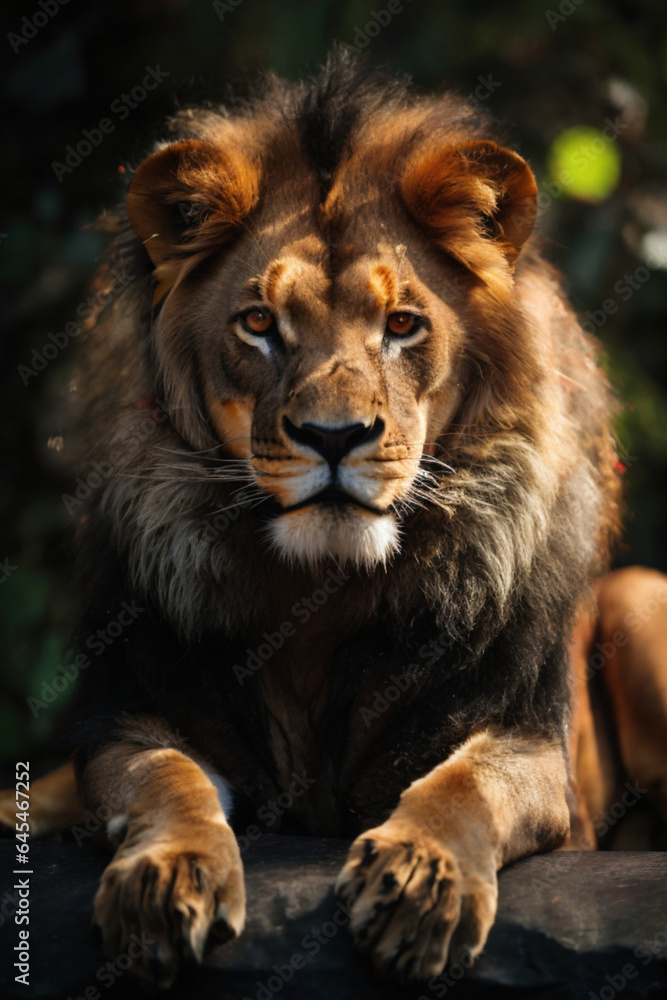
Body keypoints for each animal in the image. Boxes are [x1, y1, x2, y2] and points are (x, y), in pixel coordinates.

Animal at [3, 52, 667, 990]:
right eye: (258, 324)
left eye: (402, 325)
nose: (332, 435)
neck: (321, 588)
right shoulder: (131, 716)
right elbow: (164, 777)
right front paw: (167, 872)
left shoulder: (526, 743)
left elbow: (462, 788)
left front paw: (422, 881)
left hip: (644, 599)